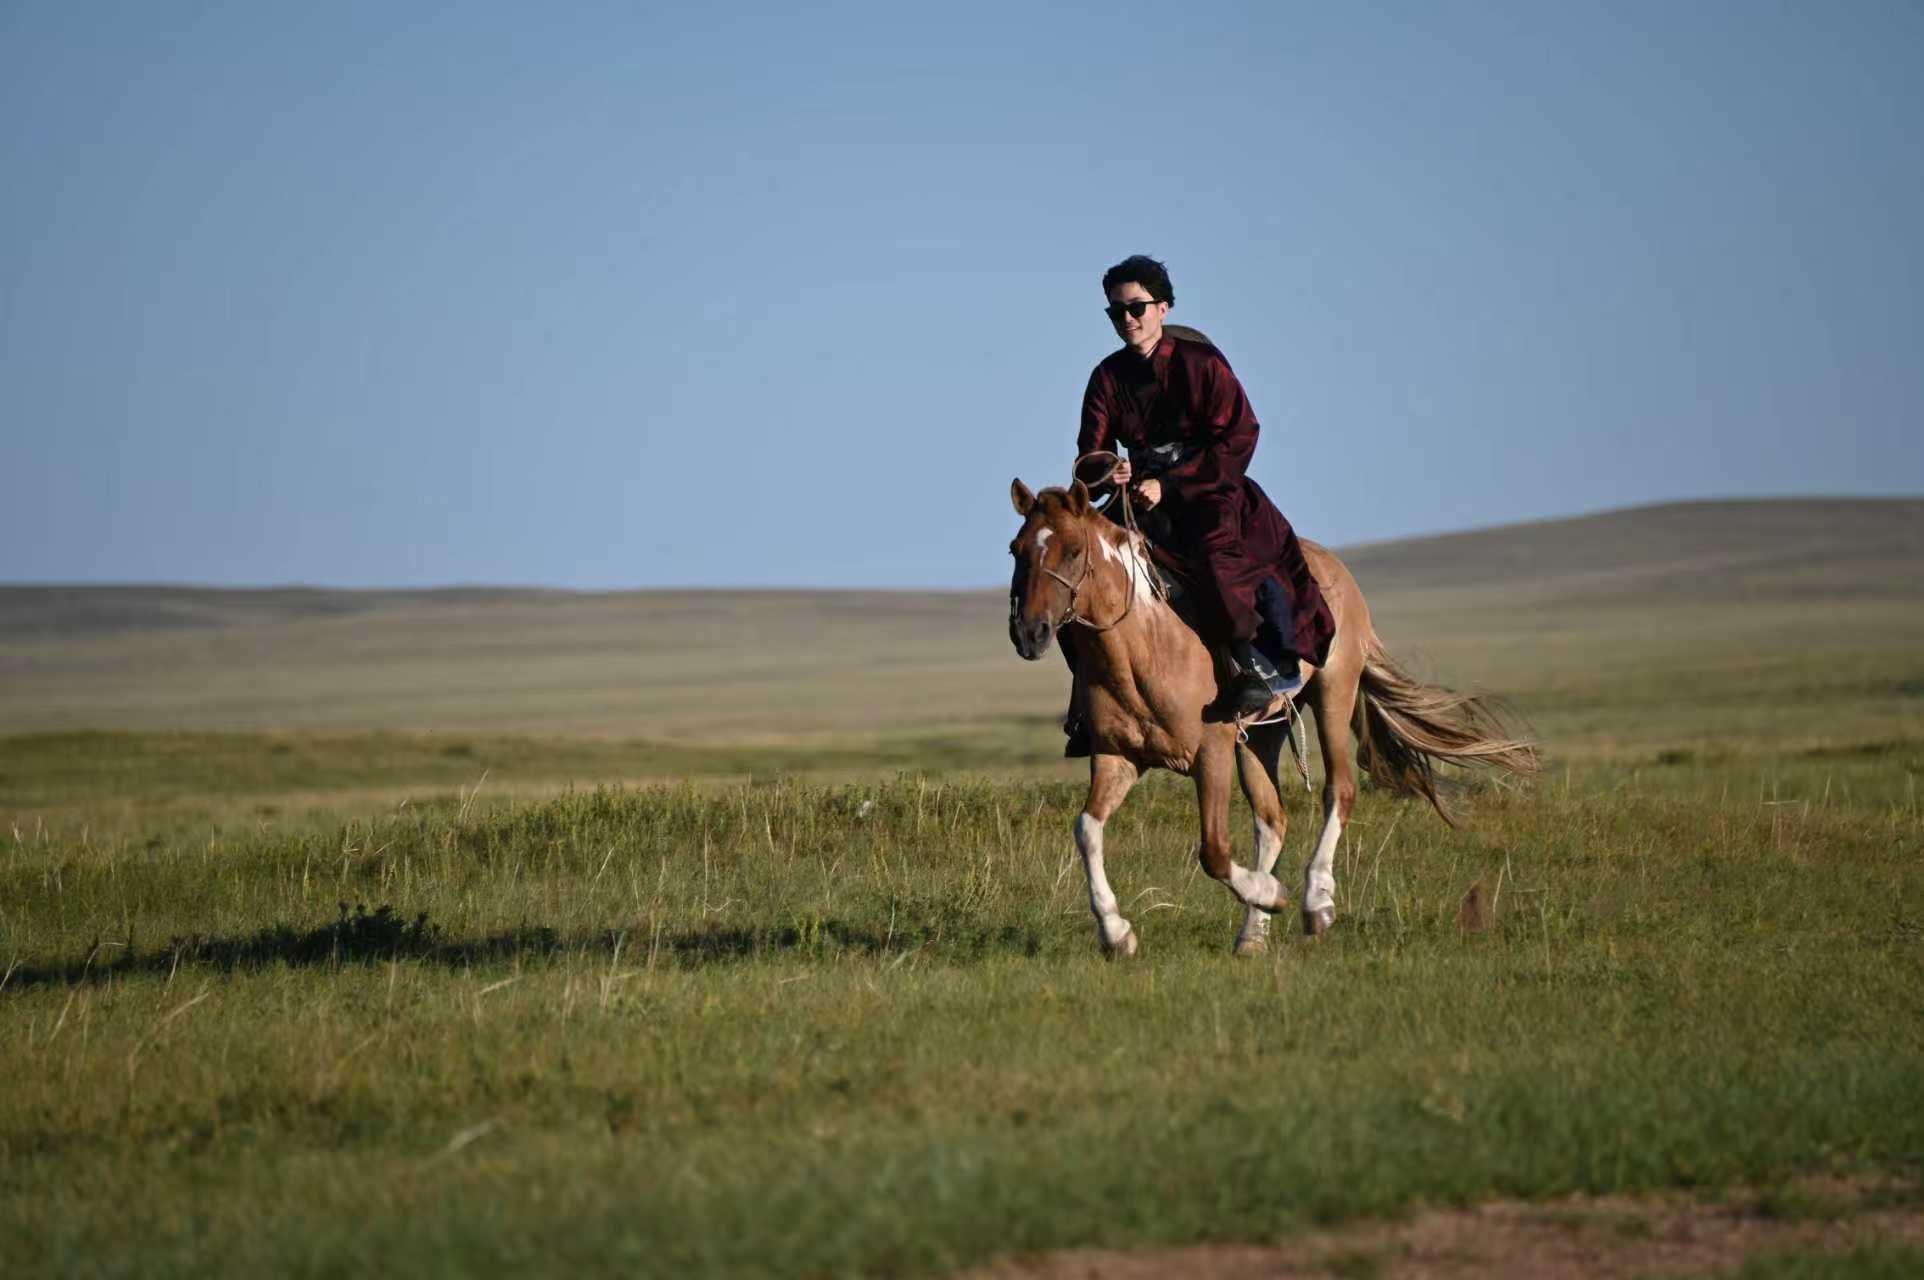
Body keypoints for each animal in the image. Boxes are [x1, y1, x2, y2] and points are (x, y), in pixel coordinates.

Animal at [1007, 476, 1539, 956]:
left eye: (1074, 551)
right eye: (1016, 550)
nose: (1030, 633)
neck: (1145, 644)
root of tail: (1331, 565)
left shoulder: (1211, 752)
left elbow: (1214, 850)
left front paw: (1273, 894)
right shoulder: (1117, 757)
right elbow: (1087, 830)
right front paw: (1117, 934)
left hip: (1333, 692)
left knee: (1338, 791)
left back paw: (1314, 903)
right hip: (1262, 733)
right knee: (1271, 819)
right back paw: (1252, 935)